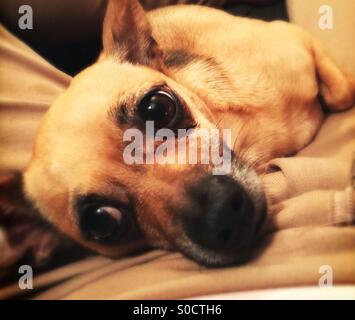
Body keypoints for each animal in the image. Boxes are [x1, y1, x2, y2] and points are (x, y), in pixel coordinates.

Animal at [0, 0, 355, 268]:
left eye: (157, 108)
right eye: (102, 222)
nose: (220, 216)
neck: (245, 137)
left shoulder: (294, 36)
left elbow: (342, 94)